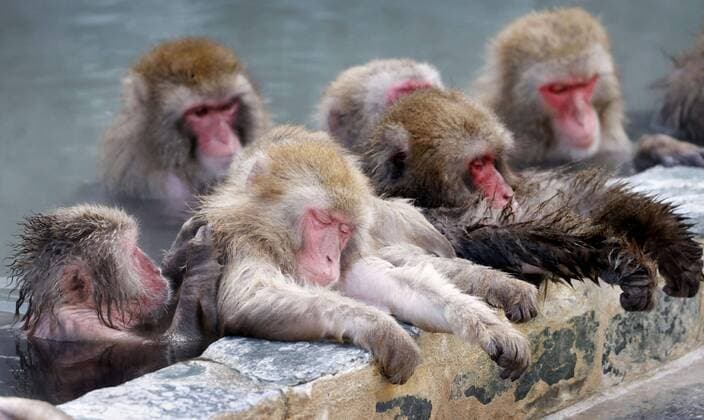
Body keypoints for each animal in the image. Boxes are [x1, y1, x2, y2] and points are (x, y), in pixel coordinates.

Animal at [7, 204, 221, 343]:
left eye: (136, 248)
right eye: (132, 253)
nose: (153, 268)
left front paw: (180, 248)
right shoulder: (90, 329)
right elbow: (180, 342)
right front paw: (200, 261)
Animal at [199, 125, 531, 384]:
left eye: (344, 229)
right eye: (323, 220)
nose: (331, 259)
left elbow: (398, 286)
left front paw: (492, 326)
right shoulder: (243, 243)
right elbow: (252, 297)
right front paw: (384, 330)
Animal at [360, 88, 703, 312]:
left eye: (492, 160)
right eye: (477, 165)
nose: (503, 191)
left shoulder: (521, 186)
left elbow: (576, 200)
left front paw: (670, 240)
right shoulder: (427, 220)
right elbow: (508, 239)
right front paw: (623, 262)